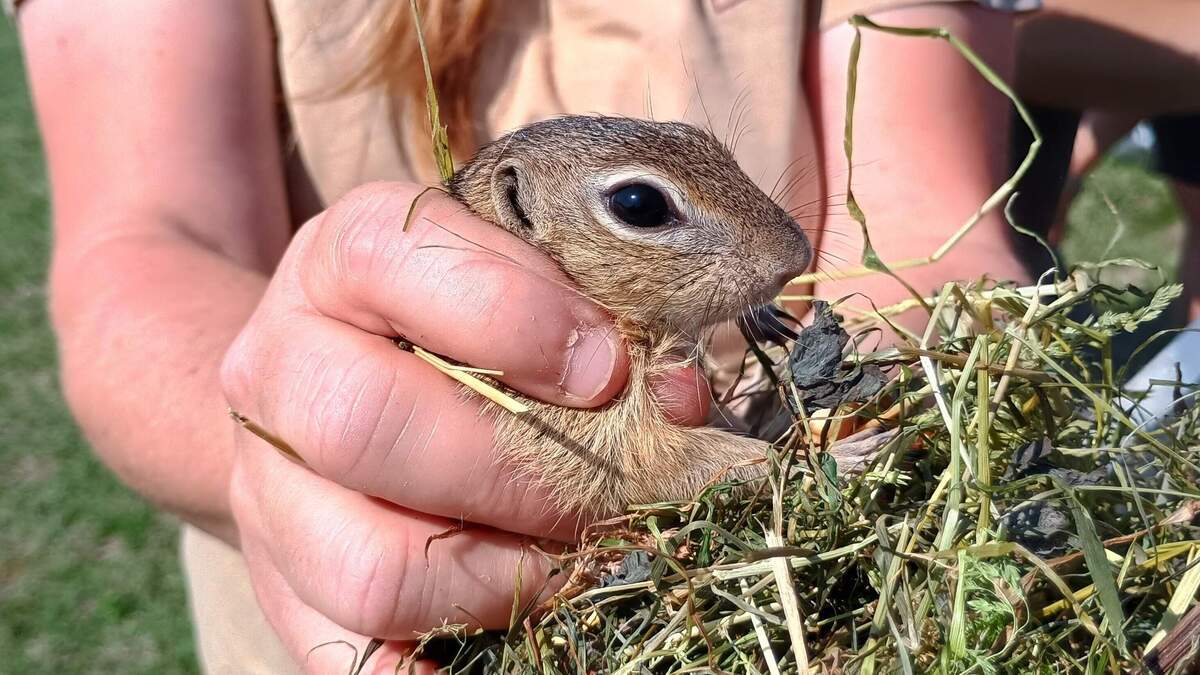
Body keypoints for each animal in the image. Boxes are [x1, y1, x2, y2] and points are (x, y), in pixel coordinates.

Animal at [445, 115, 840, 516]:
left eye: (701, 138)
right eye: (638, 204)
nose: (797, 258)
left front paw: (767, 320)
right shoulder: (585, 433)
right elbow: (665, 464)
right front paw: (820, 463)